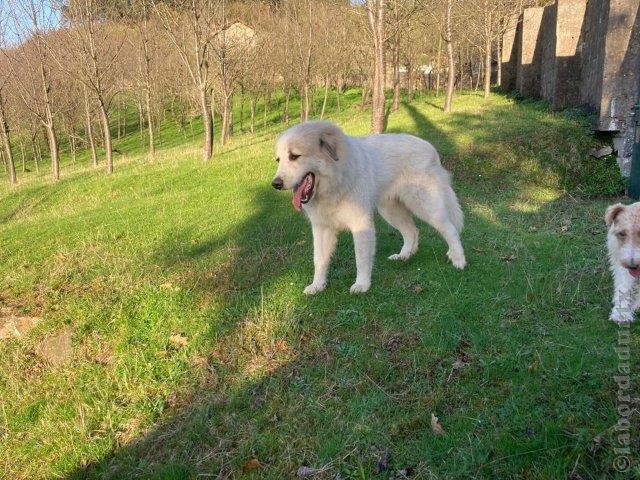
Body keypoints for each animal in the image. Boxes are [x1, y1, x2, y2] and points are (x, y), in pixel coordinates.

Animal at [270, 121, 464, 292]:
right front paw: (317, 286)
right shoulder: (321, 228)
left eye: (294, 156)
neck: (337, 179)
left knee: (450, 229)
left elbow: (361, 258)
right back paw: (404, 256)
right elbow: (319, 260)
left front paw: (362, 285)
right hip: (390, 210)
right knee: (412, 231)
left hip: (424, 205)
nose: (275, 184)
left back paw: (459, 260)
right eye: (279, 160)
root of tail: (430, 148)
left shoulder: (361, 224)